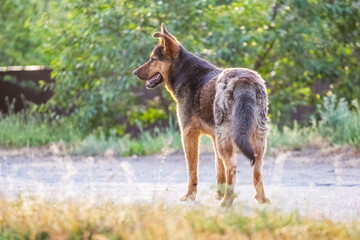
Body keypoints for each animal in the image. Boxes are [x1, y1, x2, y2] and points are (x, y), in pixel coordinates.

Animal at [134, 23, 268, 205]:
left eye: (153, 59)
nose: (134, 72)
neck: (185, 73)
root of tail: (245, 82)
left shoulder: (189, 135)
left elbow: (192, 171)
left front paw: (190, 196)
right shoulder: (214, 137)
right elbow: (219, 171)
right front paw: (218, 193)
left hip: (227, 140)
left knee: (232, 168)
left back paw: (226, 202)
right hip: (254, 139)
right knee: (257, 171)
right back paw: (261, 199)